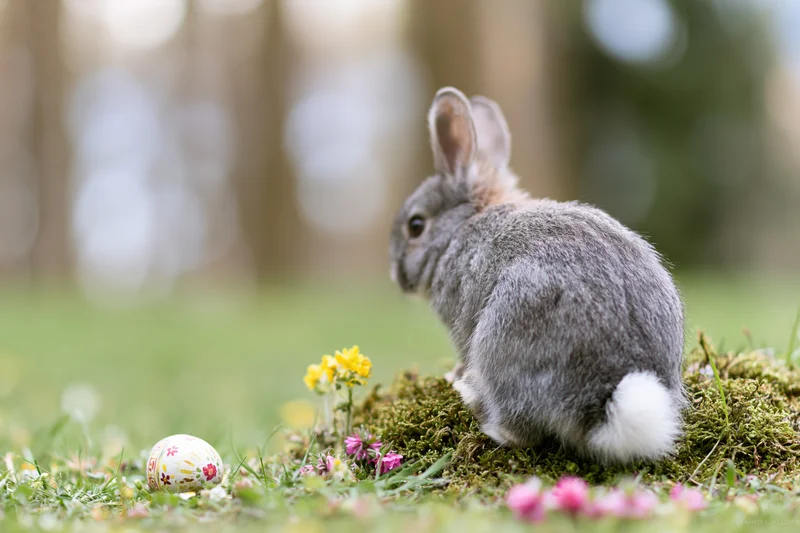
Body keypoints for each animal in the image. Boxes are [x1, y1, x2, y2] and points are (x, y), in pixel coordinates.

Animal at [388, 87, 685, 464]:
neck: (462, 227)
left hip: (504, 335)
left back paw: (474, 402)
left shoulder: (461, 324)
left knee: (521, 431)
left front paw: (454, 376)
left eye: (415, 226)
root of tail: (605, 401)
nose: (396, 276)